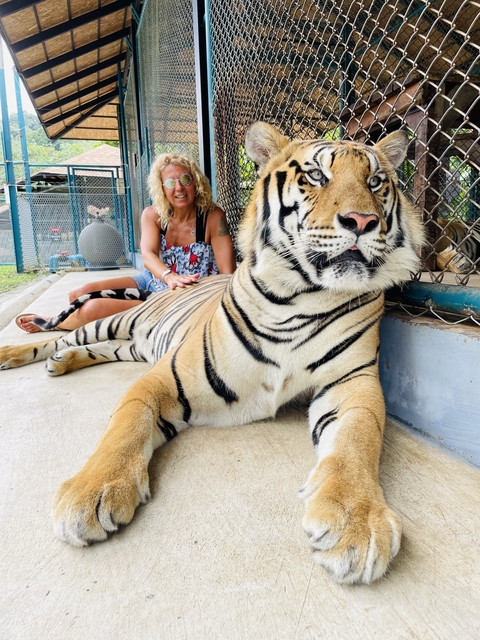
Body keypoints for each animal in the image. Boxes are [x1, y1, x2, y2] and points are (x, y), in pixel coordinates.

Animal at [0, 122, 424, 585]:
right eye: (316, 176)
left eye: (375, 181)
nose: (363, 221)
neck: (303, 296)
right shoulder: (167, 375)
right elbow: (125, 424)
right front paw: (90, 491)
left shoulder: (351, 382)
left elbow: (358, 439)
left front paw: (356, 521)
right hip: (118, 322)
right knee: (63, 336)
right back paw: (17, 352)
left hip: (133, 343)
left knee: (103, 348)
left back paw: (62, 363)